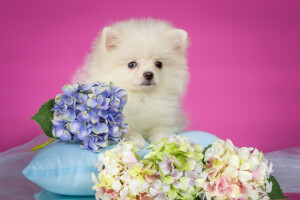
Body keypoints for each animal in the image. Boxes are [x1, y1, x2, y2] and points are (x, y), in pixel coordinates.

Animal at [73, 18, 189, 147]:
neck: (142, 97)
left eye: (159, 64)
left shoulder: (165, 119)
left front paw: (161, 139)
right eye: (132, 64)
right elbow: (129, 131)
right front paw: (136, 140)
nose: (148, 74)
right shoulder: (118, 123)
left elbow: (160, 128)